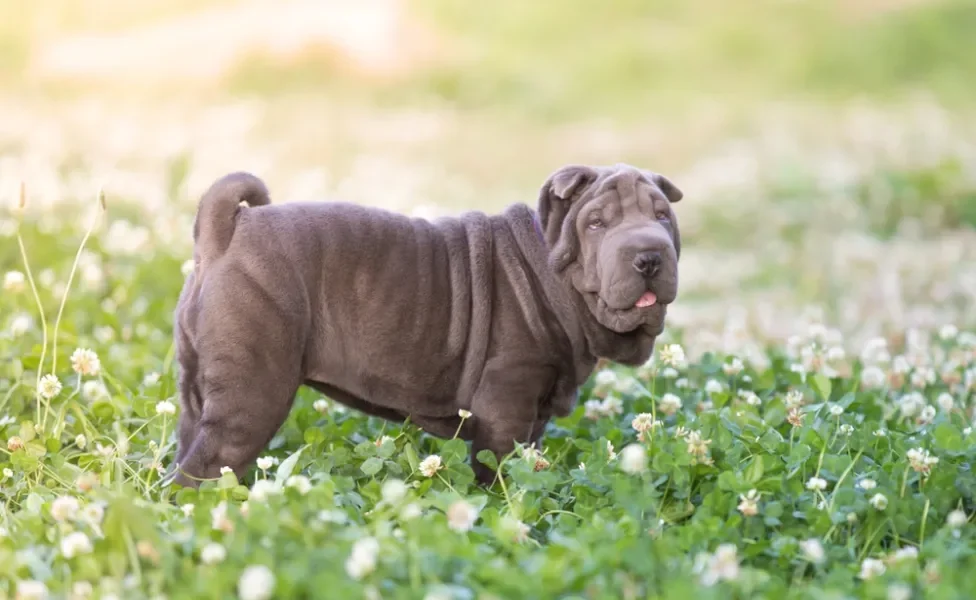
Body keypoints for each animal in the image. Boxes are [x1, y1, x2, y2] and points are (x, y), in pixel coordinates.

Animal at [168, 163, 684, 488]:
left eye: (663, 216)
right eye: (596, 223)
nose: (649, 256)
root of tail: (227, 231)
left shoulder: (533, 416)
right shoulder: (507, 405)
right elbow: (497, 468)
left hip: (197, 392)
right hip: (254, 391)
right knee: (203, 468)